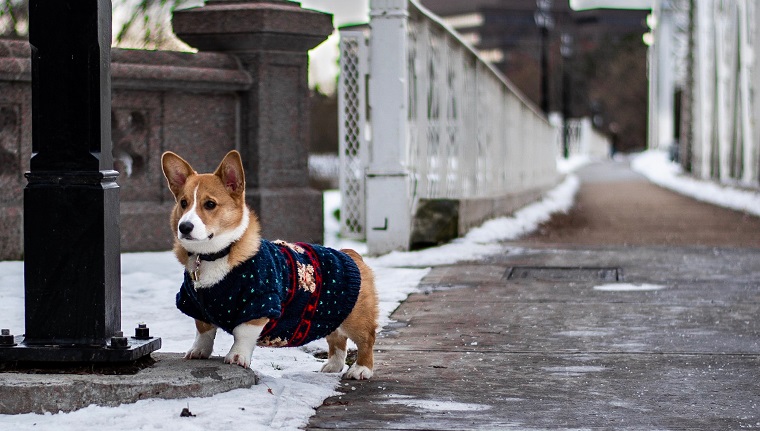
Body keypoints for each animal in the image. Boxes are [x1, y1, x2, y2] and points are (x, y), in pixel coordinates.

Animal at [160, 150, 378, 380]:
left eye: (210, 204)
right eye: (183, 203)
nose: (184, 227)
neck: (213, 254)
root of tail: (351, 253)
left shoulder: (259, 302)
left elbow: (243, 334)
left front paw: (237, 357)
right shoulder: (196, 305)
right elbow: (203, 330)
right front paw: (198, 352)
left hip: (354, 318)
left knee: (366, 339)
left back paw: (361, 369)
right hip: (330, 315)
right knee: (336, 339)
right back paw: (333, 366)